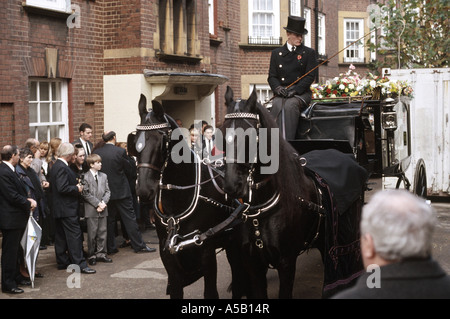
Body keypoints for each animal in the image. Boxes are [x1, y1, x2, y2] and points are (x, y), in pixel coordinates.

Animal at [129, 95, 250, 300]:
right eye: (135, 140)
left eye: (162, 140)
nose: (144, 189)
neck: (178, 197)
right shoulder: (167, 253)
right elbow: (176, 290)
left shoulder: (205, 249)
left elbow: (211, 293)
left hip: (236, 244)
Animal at [221, 86, 366, 298]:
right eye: (221, 135)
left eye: (250, 136)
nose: (232, 185)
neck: (261, 209)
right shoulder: (253, 264)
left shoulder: (287, 262)